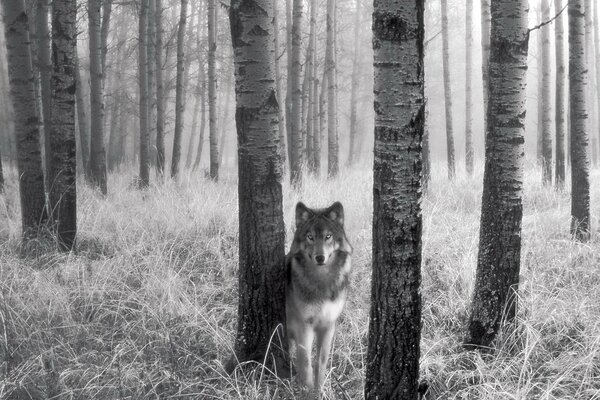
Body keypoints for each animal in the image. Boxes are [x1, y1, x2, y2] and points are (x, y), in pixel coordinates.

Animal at [286, 202, 352, 392]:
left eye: (328, 236)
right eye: (310, 237)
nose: (320, 257)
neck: (322, 281)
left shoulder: (328, 325)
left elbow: (320, 363)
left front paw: (319, 391)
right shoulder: (304, 327)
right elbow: (306, 364)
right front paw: (308, 391)